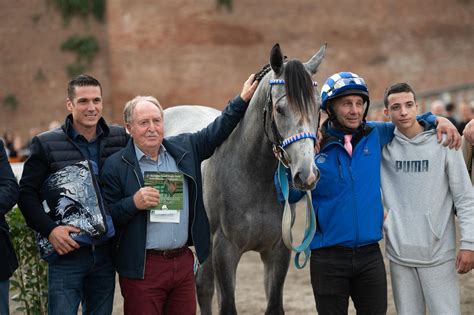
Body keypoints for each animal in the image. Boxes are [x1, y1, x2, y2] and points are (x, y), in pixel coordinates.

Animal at [164, 43, 326, 314]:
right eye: (280, 109)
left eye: (318, 107)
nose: (307, 174)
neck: (253, 176)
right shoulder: (224, 249)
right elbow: (227, 306)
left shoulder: (278, 250)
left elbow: (274, 305)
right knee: (204, 288)